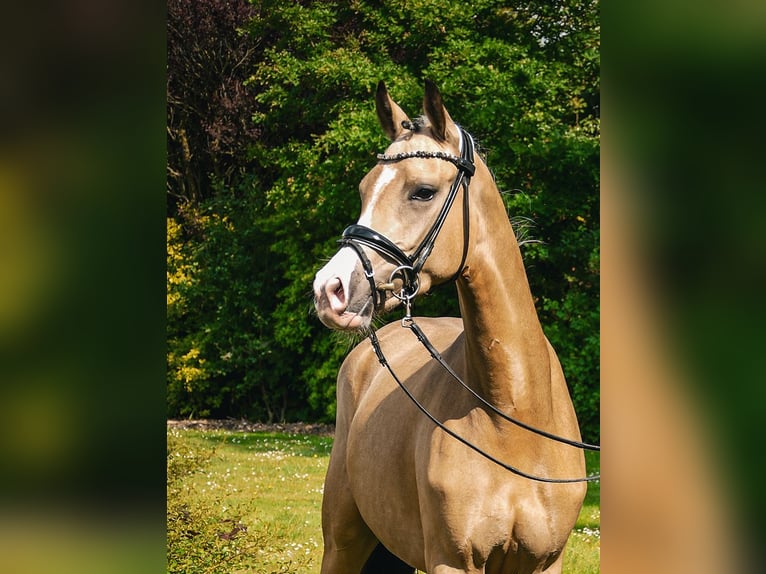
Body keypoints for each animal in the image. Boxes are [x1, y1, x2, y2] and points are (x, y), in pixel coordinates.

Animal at [316, 81, 596, 574]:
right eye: (364, 188)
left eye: (423, 191)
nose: (329, 290)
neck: (513, 417)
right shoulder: (452, 561)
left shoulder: (545, 562)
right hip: (343, 543)